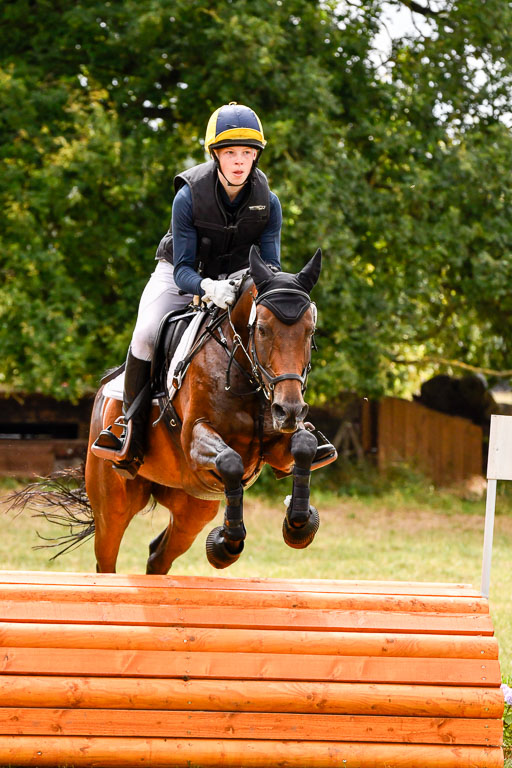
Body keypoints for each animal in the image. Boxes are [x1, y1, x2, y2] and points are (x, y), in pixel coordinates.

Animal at [85, 244, 332, 568]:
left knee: (158, 555)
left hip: (193, 507)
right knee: (106, 559)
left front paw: (298, 524)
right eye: (262, 329)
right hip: (113, 505)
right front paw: (228, 542)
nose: (288, 410)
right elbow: (230, 461)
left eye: (310, 331)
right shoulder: (194, 439)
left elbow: (304, 445)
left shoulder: (278, 447)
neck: (245, 373)